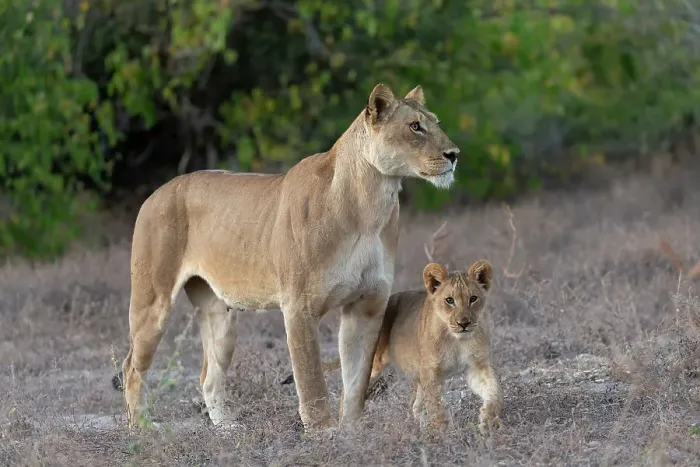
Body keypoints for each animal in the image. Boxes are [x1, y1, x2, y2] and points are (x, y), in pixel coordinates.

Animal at [113, 83, 460, 433]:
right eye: (415, 126)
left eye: (437, 123)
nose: (454, 155)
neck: (370, 205)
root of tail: (157, 192)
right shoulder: (299, 306)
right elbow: (311, 379)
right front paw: (323, 434)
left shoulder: (367, 304)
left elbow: (356, 381)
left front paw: (351, 432)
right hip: (153, 302)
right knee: (132, 366)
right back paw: (142, 428)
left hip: (220, 314)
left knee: (208, 376)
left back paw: (228, 429)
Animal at [282, 259, 503, 434]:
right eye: (449, 300)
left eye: (473, 298)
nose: (464, 323)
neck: (458, 340)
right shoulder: (431, 372)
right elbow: (436, 405)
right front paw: (444, 433)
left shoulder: (476, 366)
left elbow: (494, 391)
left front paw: (488, 421)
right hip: (374, 364)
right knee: (349, 391)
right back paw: (346, 427)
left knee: (415, 406)